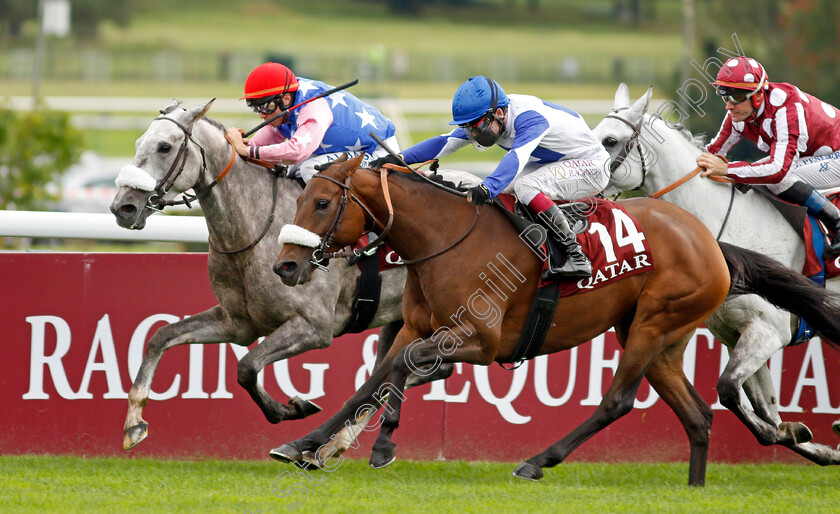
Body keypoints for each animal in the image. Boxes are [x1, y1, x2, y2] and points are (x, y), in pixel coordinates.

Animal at [111, 101, 480, 452]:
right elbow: (161, 336)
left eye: (164, 147)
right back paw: (332, 445)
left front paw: (293, 408)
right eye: (138, 143)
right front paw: (133, 424)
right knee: (405, 370)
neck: (255, 231)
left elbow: (247, 367)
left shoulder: (314, 327)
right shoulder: (237, 323)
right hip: (401, 316)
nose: (122, 207)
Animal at [272, 153, 840, 484]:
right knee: (698, 415)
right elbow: (371, 381)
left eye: (321, 202)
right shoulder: (417, 326)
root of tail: (709, 241)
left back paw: (537, 461)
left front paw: (382, 442)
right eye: (300, 198)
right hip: (662, 335)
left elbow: (400, 367)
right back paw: (695, 488)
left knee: (618, 401)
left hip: (653, 325)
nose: (285, 266)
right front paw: (303, 444)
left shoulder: (480, 341)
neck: (443, 238)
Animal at [592, 82, 840, 462]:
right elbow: (763, 408)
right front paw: (809, 441)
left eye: (610, 140)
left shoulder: (768, 329)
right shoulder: (736, 334)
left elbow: (727, 390)